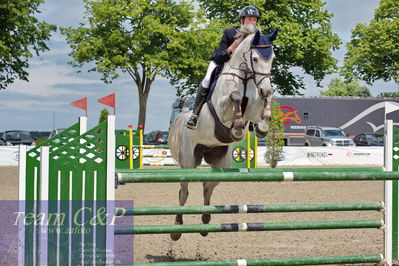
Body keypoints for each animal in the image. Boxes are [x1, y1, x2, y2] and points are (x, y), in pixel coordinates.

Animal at [167, 25, 276, 241]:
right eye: (255, 58)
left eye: (273, 58)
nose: (265, 88)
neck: (246, 77)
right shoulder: (222, 106)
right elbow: (235, 97)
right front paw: (238, 125)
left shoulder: (254, 106)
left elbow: (262, 106)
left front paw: (262, 126)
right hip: (188, 159)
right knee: (184, 191)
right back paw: (177, 228)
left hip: (221, 161)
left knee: (208, 186)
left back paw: (205, 222)